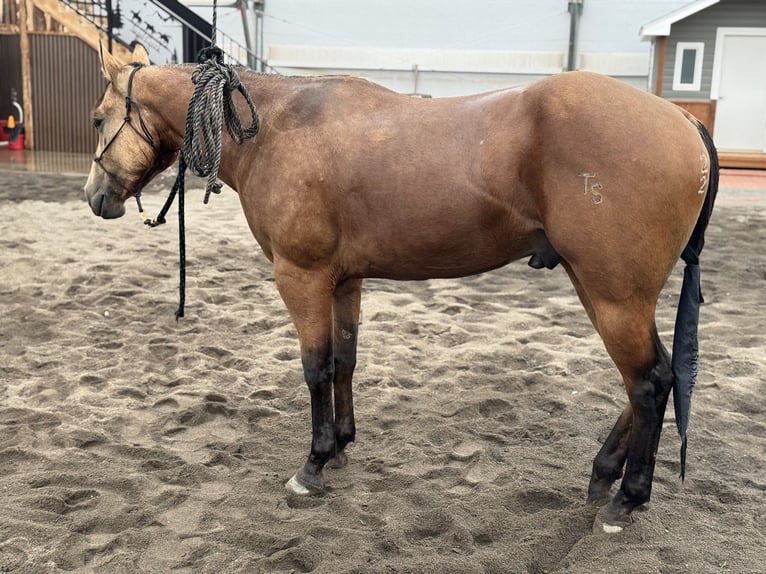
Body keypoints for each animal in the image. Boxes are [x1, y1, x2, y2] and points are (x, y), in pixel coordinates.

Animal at [84, 44, 718, 533]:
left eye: (95, 118)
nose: (96, 197)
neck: (277, 126)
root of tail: (683, 121)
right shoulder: (343, 279)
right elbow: (344, 360)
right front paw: (341, 445)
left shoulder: (300, 276)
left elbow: (315, 367)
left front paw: (312, 465)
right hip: (601, 288)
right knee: (650, 379)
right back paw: (604, 474)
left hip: (614, 297)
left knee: (649, 383)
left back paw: (625, 500)